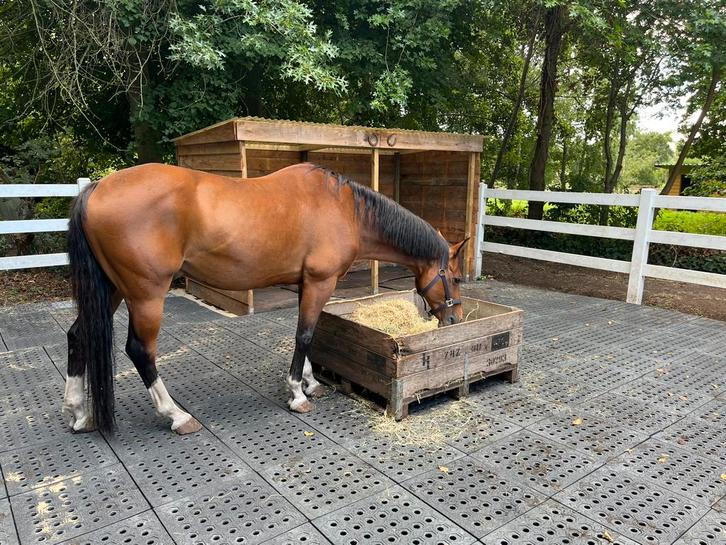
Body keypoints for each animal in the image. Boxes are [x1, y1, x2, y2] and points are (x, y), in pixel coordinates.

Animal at [63, 162, 468, 435]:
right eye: (456, 278)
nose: (454, 319)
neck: (344, 209)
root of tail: (95, 189)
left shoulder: (306, 284)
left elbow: (307, 334)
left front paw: (310, 382)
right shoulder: (320, 282)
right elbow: (305, 335)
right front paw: (297, 394)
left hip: (113, 290)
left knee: (77, 335)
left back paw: (79, 412)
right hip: (146, 295)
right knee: (140, 350)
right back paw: (176, 415)